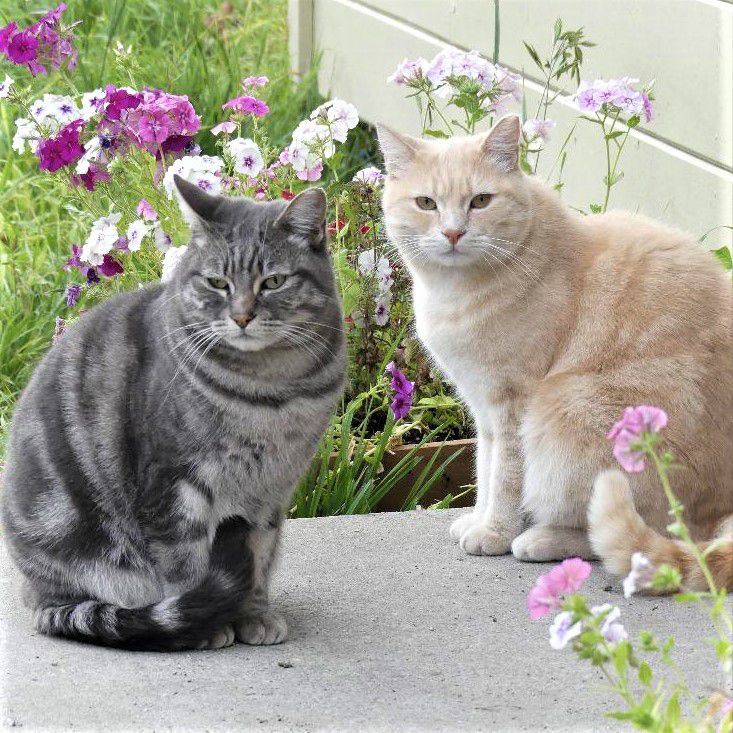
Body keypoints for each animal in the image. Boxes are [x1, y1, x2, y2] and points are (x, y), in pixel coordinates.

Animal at [1, 176, 344, 652]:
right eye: (217, 283)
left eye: (273, 281)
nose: (242, 317)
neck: (269, 391)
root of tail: (32, 594)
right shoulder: (173, 485)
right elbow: (187, 569)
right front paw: (211, 624)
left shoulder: (269, 490)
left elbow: (258, 557)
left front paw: (254, 616)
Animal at [378, 118, 732, 588]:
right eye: (426, 203)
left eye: (481, 201)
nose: (453, 233)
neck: (455, 291)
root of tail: (724, 511)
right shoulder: (483, 406)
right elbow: (484, 467)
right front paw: (478, 519)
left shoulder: (514, 404)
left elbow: (506, 478)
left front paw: (494, 532)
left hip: (567, 407)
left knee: (647, 534)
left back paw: (541, 539)